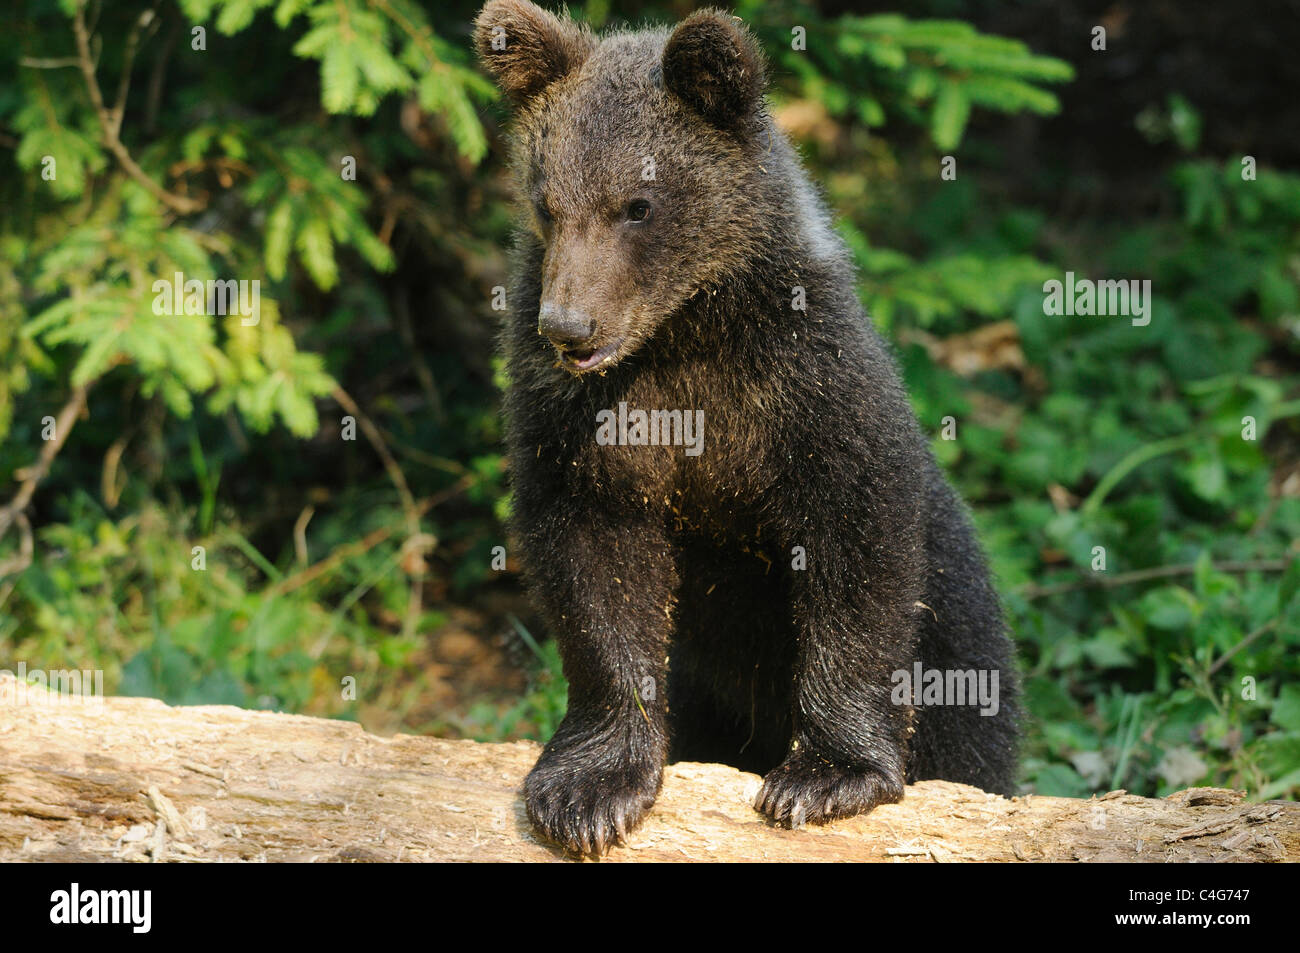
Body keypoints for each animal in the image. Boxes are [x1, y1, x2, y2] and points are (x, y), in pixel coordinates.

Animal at [473, 0, 1020, 856]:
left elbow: (854, 550)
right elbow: (593, 561)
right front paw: (589, 789)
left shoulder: (806, 386)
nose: (569, 327)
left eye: (638, 204)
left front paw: (826, 775)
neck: (683, 334)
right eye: (547, 202)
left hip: (965, 646)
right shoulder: (580, 423)